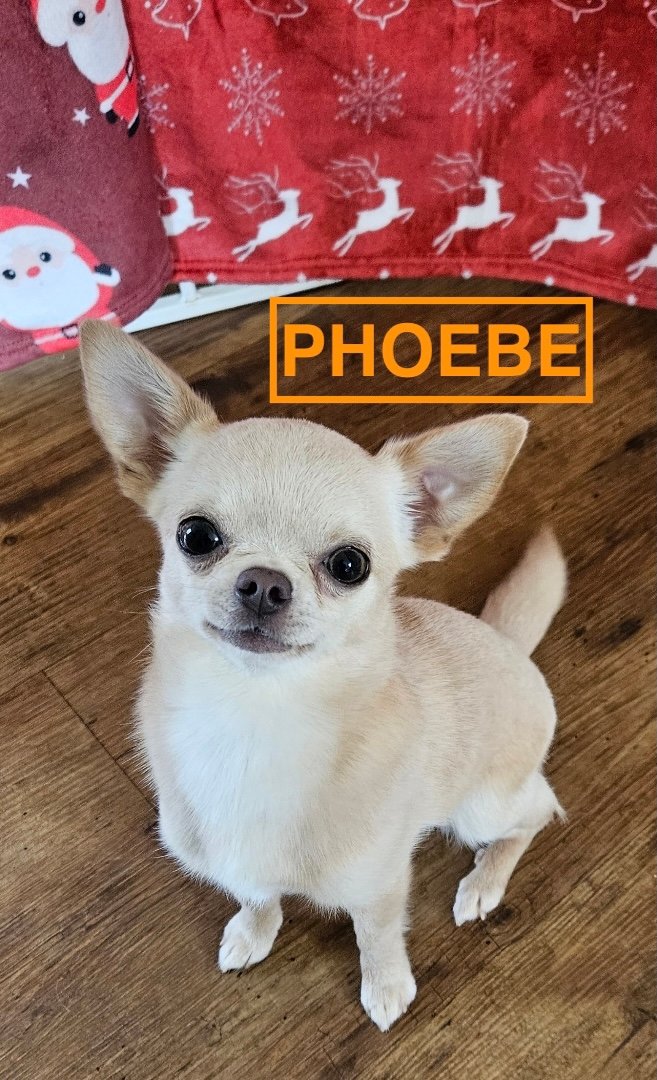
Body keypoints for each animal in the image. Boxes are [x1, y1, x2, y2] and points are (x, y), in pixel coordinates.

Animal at [80, 321, 566, 1031]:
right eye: (195, 535)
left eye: (349, 565)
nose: (263, 583)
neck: (254, 720)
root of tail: (505, 640)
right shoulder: (241, 867)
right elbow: (259, 897)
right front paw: (253, 932)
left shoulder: (380, 884)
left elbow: (377, 935)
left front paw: (387, 986)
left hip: (481, 806)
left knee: (537, 814)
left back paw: (484, 882)